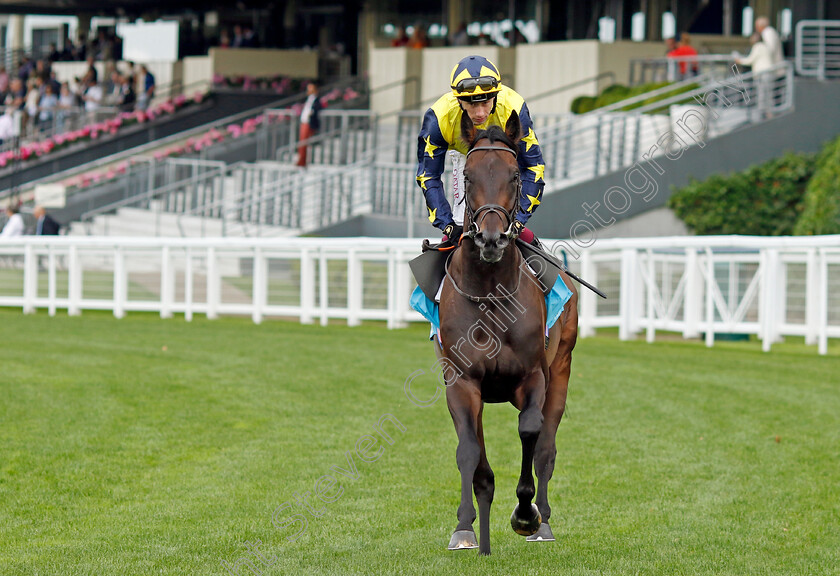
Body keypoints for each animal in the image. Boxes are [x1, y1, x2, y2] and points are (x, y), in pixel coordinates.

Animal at [434, 109, 576, 552]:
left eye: (515, 176)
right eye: (469, 175)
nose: (492, 238)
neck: (489, 293)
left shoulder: (533, 376)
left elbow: (530, 432)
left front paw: (525, 514)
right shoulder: (461, 380)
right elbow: (468, 449)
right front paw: (465, 527)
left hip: (562, 368)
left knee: (547, 446)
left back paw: (542, 521)